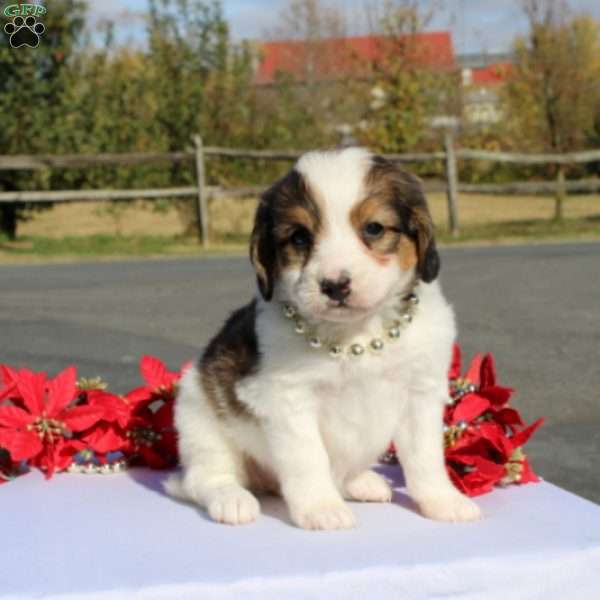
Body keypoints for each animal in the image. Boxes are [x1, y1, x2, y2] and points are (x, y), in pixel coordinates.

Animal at [166, 146, 480, 528]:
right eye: (300, 237)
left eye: (373, 228)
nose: (334, 285)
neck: (358, 335)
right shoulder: (289, 398)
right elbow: (308, 458)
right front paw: (321, 507)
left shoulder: (420, 393)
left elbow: (425, 458)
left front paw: (443, 500)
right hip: (199, 417)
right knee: (203, 479)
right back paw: (231, 499)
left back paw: (361, 482)